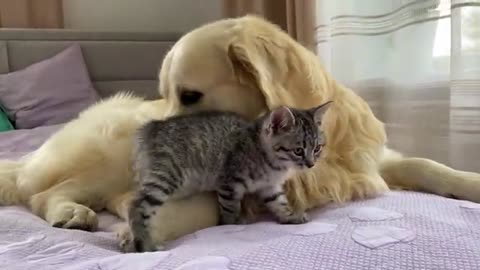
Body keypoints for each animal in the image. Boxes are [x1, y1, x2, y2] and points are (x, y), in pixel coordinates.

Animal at [128, 101, 330, 251]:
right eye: (298, 151)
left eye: (317, 148)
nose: (311, 164)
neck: (272, 163)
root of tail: (152, 127)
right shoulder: (229, 183)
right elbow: (230, 208)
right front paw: (231, 223)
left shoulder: (270, 187)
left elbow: (279, 202)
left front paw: (289, 216)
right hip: (167, 175)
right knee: (135, 205)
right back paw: (145, 243)